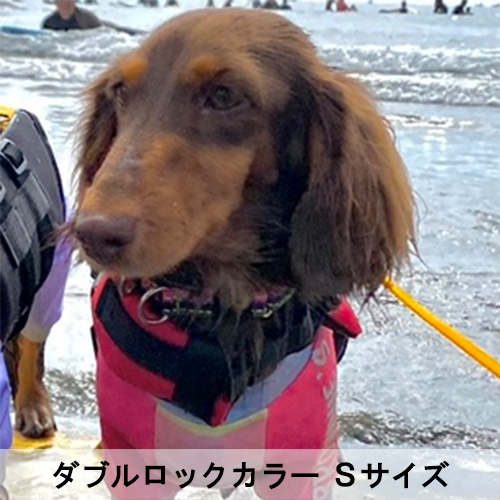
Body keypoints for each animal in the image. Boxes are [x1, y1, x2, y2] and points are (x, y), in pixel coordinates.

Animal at [71, 8, 414, 499]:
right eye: (120, 91)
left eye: (224, 95)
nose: (93, 233)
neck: (221, 311)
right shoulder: (134, 455)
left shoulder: (302, 459)